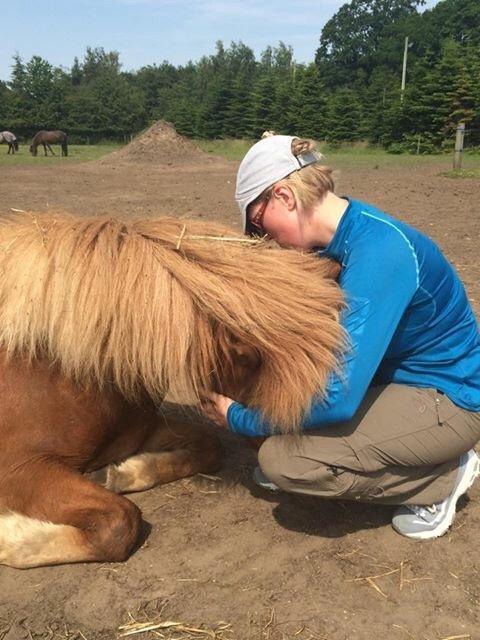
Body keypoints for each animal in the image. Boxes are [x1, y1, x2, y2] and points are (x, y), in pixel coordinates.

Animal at [0, 212, 344, 568]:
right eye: (247, 361)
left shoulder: (144, 433)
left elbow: (208, 447)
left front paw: (117, 474)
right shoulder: (20, 470)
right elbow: (120, 523)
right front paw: (11, 539)